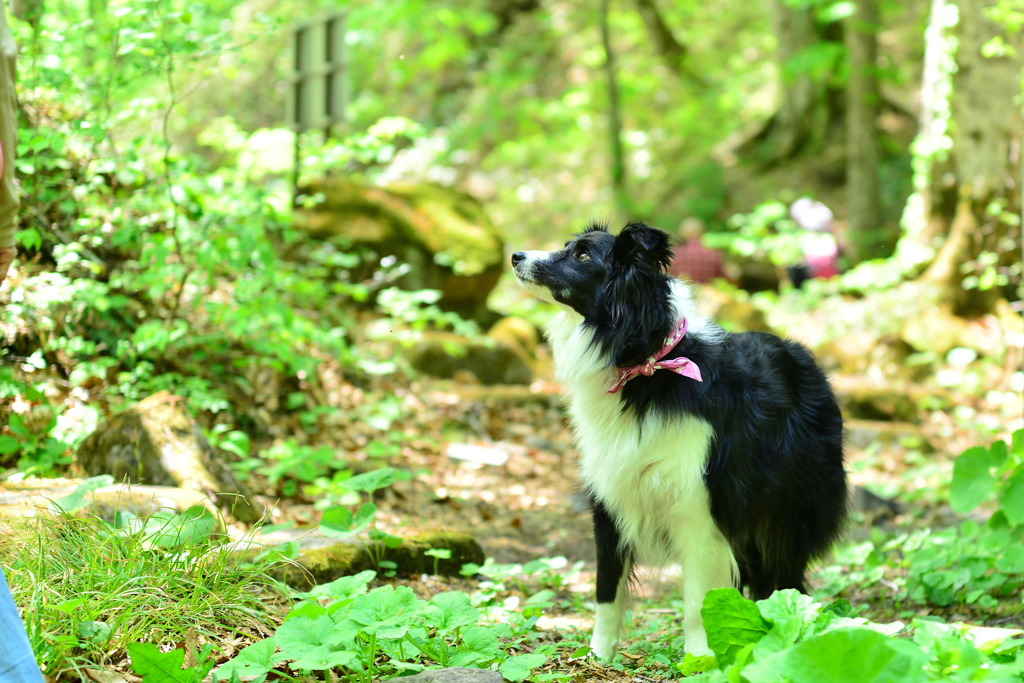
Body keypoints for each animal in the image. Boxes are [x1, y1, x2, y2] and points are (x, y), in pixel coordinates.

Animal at [507, 222, 843, 659]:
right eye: (567, 246)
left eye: (582, 256)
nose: (516, 256)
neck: (647, 367)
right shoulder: (610, 498)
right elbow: (606, 592)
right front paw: (597, 657)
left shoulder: (698, 508)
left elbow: (699, 601)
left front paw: (700, 661)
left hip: (787, 510)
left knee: (784, 577)